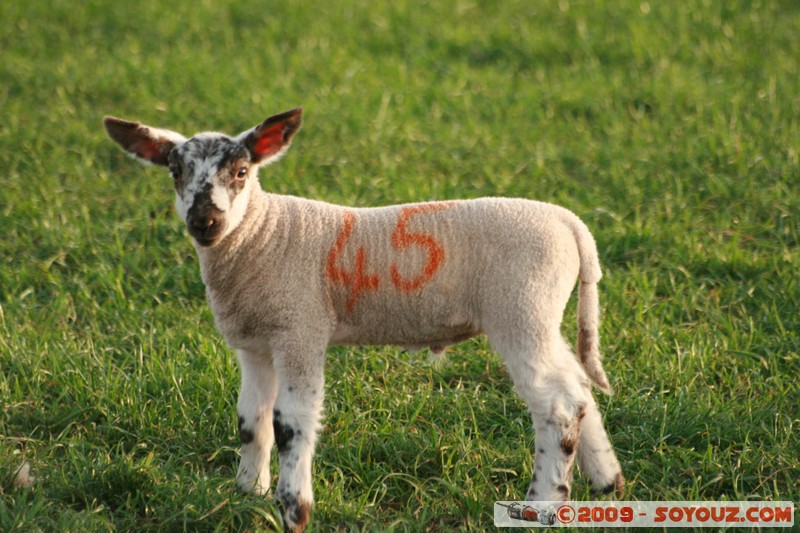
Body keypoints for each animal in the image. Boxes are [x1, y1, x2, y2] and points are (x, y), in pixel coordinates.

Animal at [101, 108, 624, 532]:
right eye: (174, 171)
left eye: (242, 171)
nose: (204, 222)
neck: (263, 235)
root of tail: (572, 225)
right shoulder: (255, 344)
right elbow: (251, 421)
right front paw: (248, 493)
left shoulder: (301, 329)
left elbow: (290, 422)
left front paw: (295, 510)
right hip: (541, 316)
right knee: (579, 390)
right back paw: (607, 483)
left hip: (522, 310)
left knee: (557, 405)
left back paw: (543, 501)